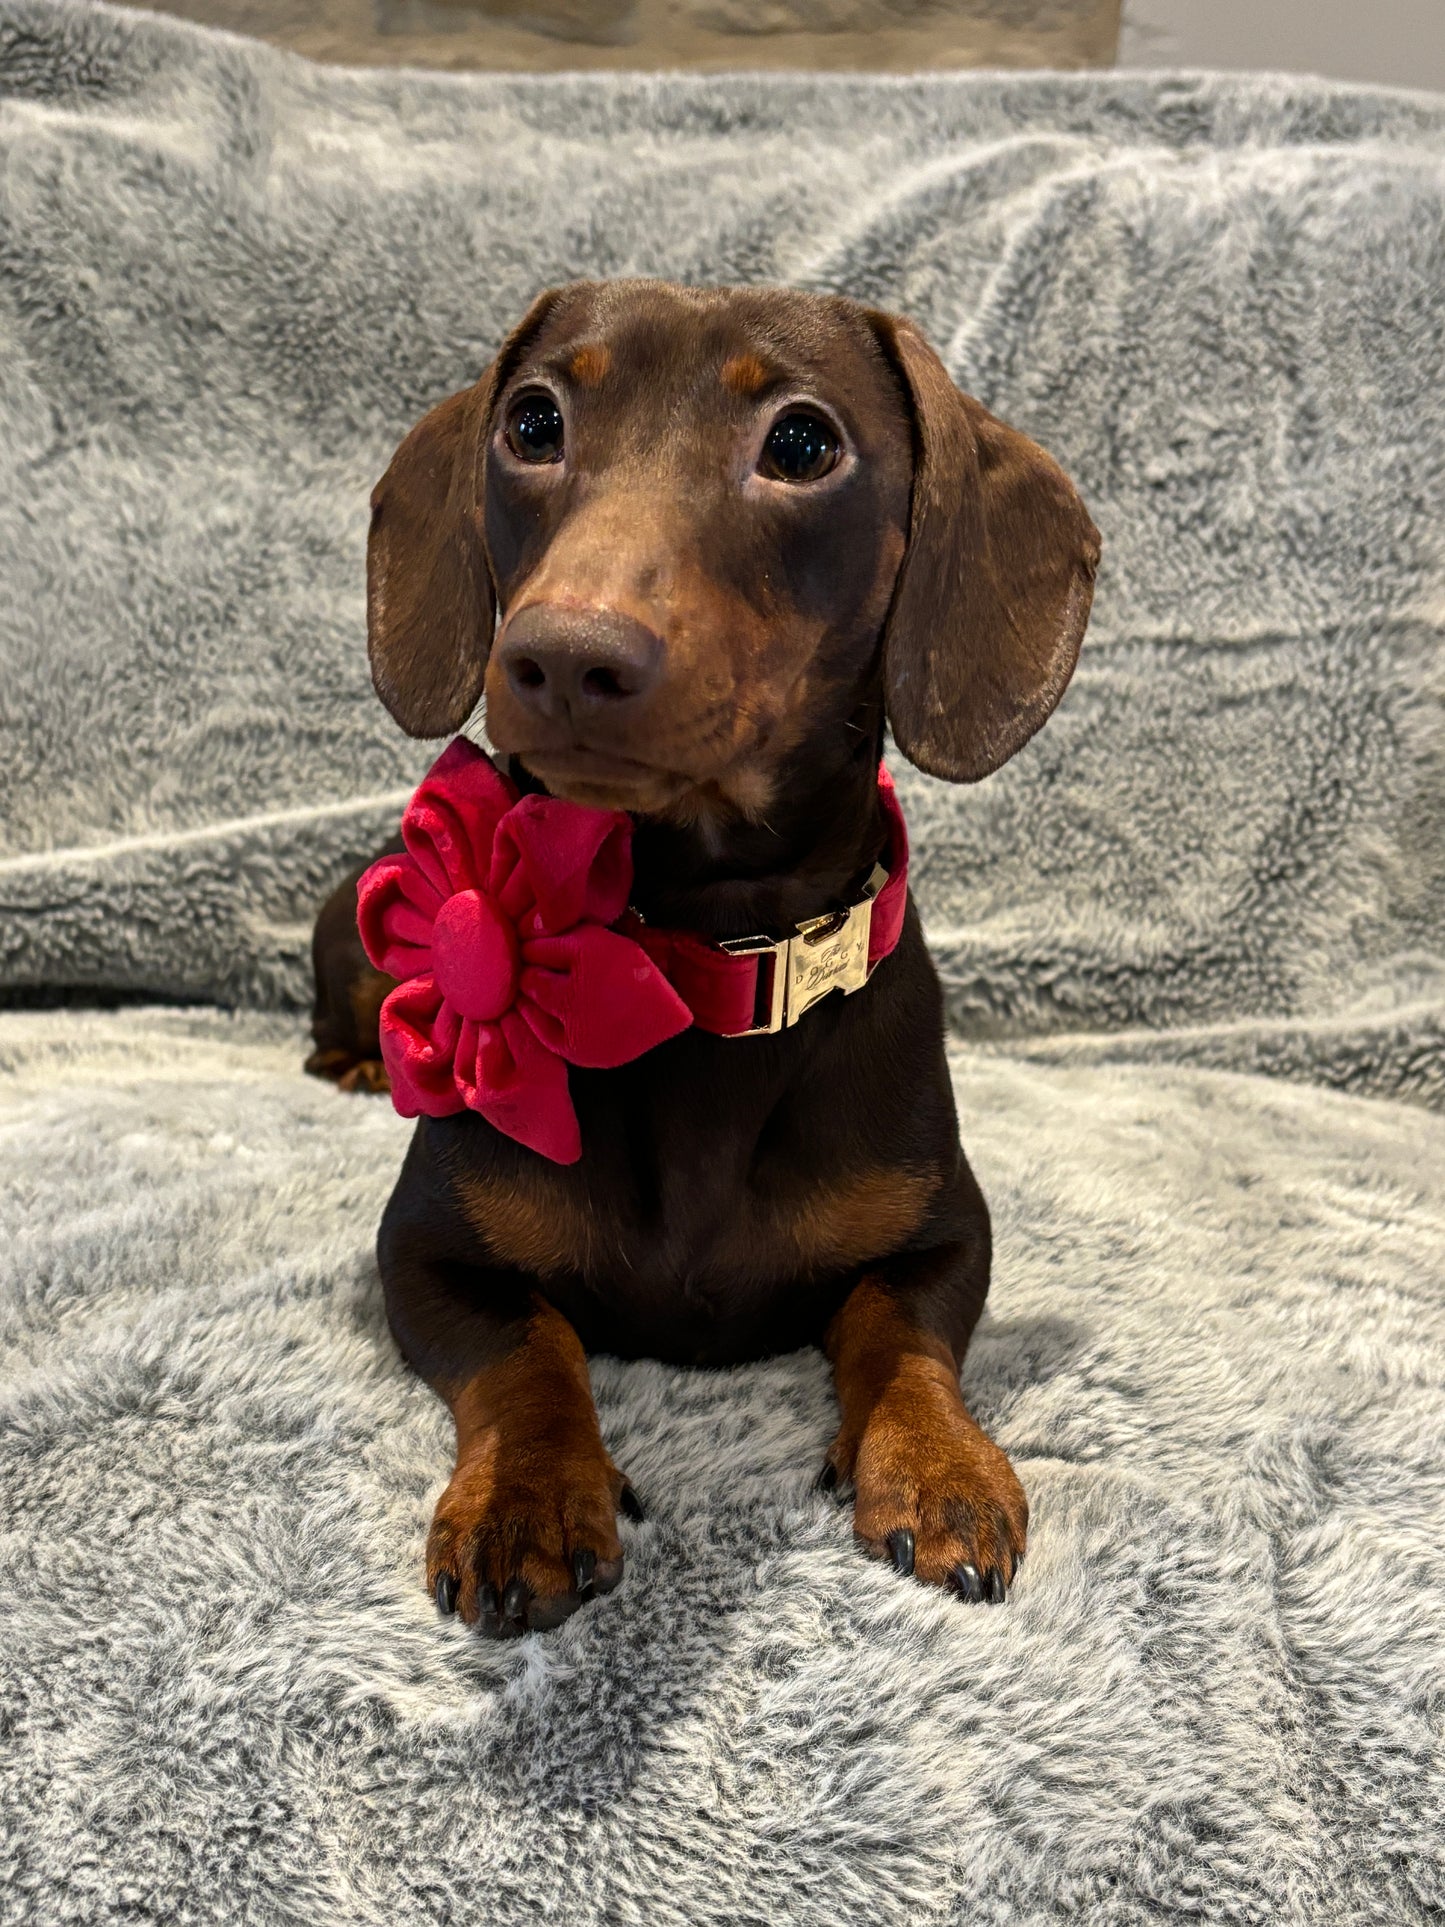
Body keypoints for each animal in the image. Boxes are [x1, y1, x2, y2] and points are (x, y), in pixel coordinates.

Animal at [306, 279, 1094, 1641]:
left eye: (800, 442)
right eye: (531, 421)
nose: (564, 655)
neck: (698, 959)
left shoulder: (944, 1229)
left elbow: (900, 1331)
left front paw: (934, 1462)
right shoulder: (424, 1250)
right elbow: (527, 1347)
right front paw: (528, 1495)